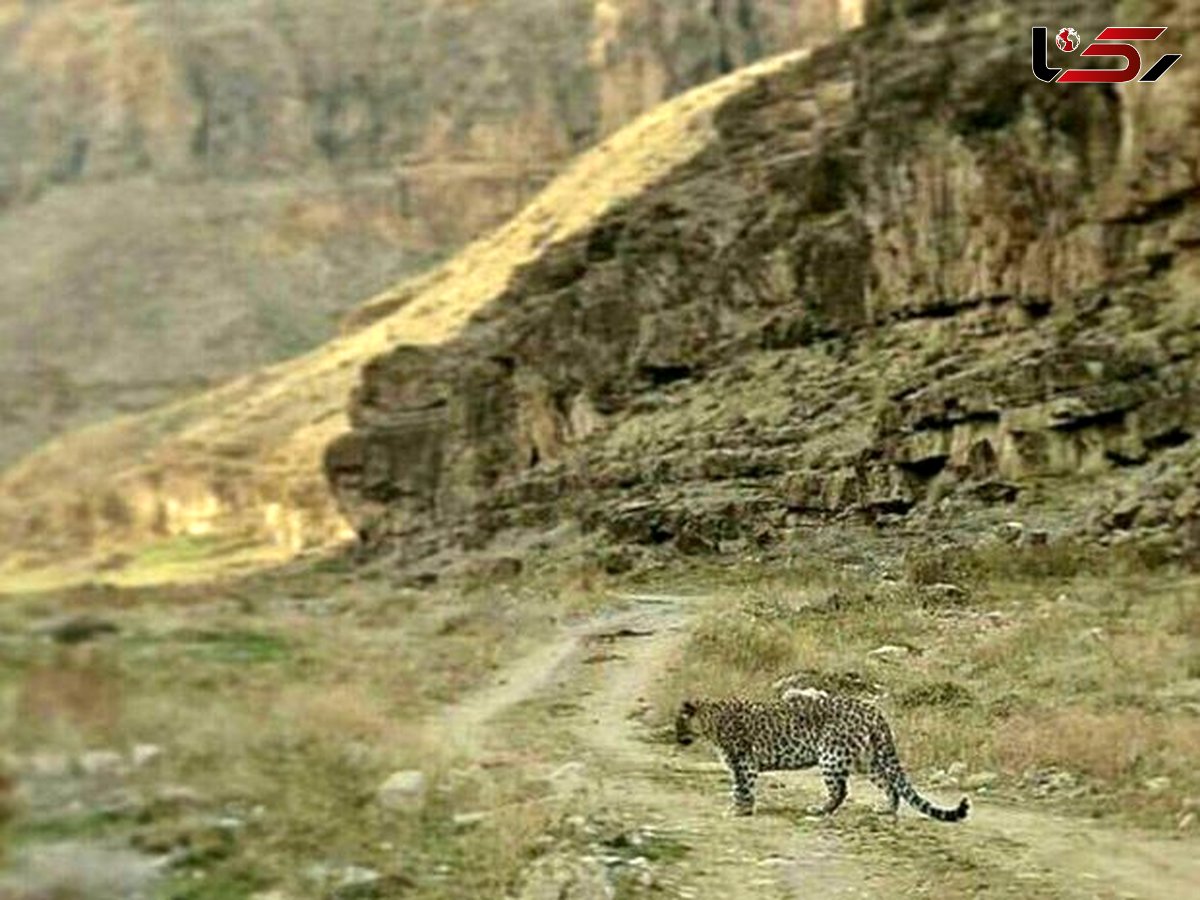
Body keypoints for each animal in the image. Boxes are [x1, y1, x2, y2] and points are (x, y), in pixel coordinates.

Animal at [681, 696, 969, 830]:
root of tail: (874, 711)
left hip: (830, 754)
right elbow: (739, 788)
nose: (675, 736)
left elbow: (742, 788)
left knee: (841, 790)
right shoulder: (741, 764)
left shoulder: (743, 762)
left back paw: (819, 810)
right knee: (889, 783)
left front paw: (738, 810)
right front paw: (740, 809)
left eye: (679, 721)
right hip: (867, 759)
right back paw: (886, 810)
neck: (710, 721)